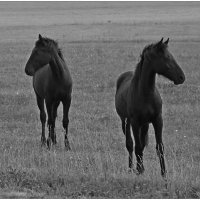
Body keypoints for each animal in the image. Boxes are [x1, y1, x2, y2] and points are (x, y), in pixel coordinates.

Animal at [115, 37, 185, 177]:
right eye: (166, 58)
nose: (181, 77)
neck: (146, 94)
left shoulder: (157, 120)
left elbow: (159, 147)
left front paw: (164, 174)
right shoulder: (135, 122)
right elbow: (137, 147)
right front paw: (139, 171)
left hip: (145, 124)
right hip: (125, 121)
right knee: (130, 144)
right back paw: (131, 168)